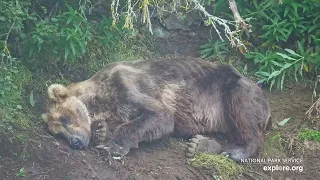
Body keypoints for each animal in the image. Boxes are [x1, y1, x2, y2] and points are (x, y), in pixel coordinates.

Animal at [42, 57, 272, 161]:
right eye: (57, 133)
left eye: (64, 119)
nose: (75, 142)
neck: (100, 100)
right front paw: (101, 131)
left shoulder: (127, 86)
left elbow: (160, 116)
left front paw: (113, 146)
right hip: (218, 117)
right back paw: (201, 145)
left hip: (230, 90)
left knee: (243, 114)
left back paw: (238, 151)